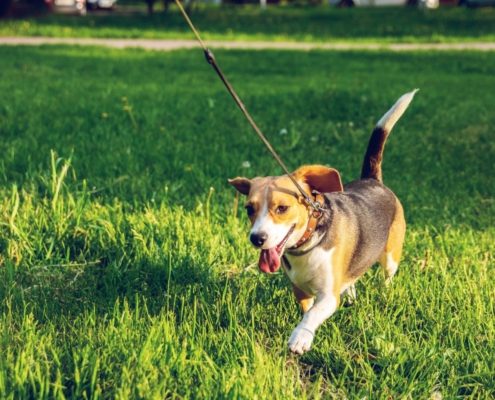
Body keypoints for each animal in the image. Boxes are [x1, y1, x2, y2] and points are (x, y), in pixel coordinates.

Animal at [231, 90, 416, 354]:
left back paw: (384, 293)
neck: (308, 244)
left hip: (391, 256)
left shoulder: (328, 296)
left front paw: (300, 337)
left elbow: (313, 313)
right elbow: (308, 309)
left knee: (387, 276)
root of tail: (372, 180)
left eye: (282, 208)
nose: (257, 238)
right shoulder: (299, 289)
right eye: (249, 209)